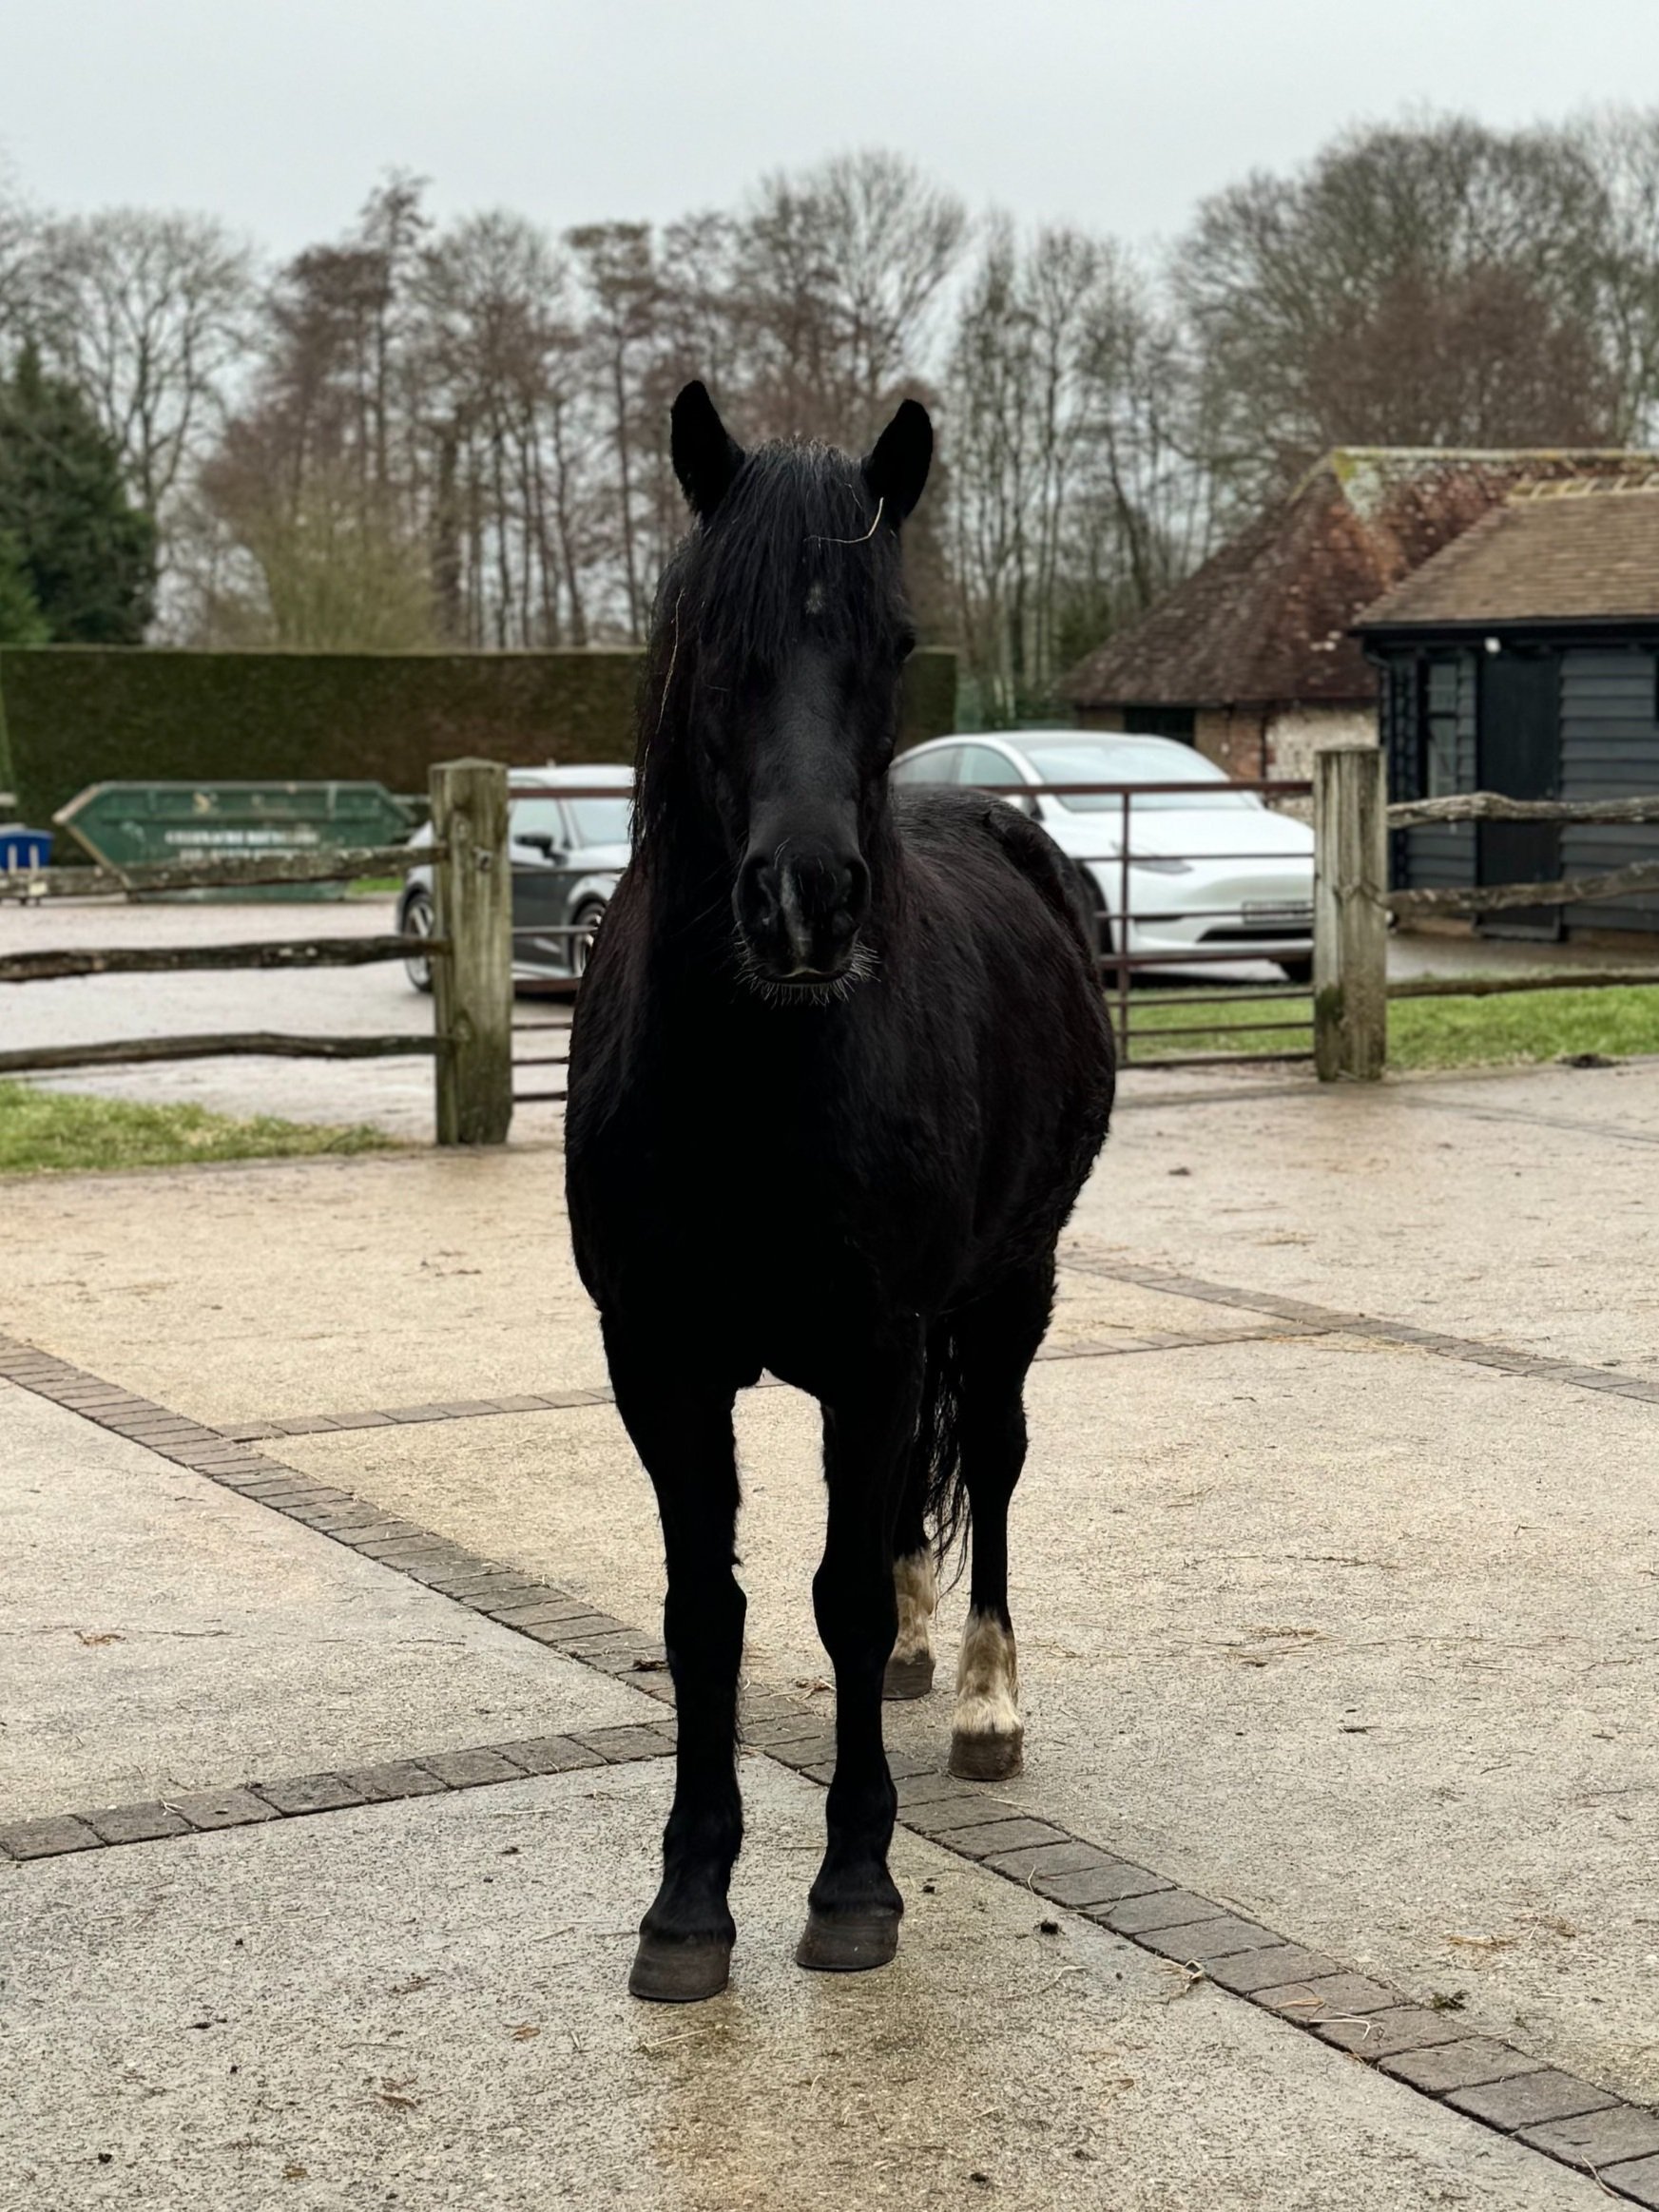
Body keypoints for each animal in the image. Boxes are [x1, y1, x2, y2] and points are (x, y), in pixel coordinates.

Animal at [565, 381, 1115, 2004]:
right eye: (713, 638)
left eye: (889, 640)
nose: (805, 901)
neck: (750, 1082)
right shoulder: (660, 1361)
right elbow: (710, 1611)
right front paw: (687, 1901)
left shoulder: (873, 1347)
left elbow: (842, 1599)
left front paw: (854, 1885)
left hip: (1010, 1285)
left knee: (989, 1455)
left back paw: (984, 1694)